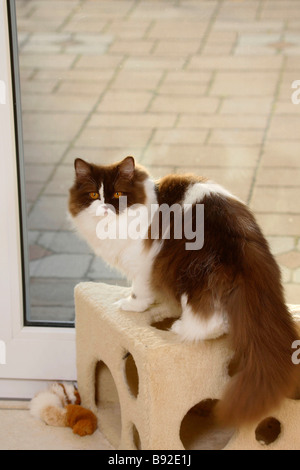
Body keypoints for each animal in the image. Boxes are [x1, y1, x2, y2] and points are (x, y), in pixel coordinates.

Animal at [69, 155, 298, 426]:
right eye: (94, 194)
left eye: (117, 194)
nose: (105, 207)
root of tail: (242, 242)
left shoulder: (143, 262)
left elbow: (139, 291)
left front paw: (130, 305)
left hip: (191, 274)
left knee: (208, 321)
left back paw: (180, 328)